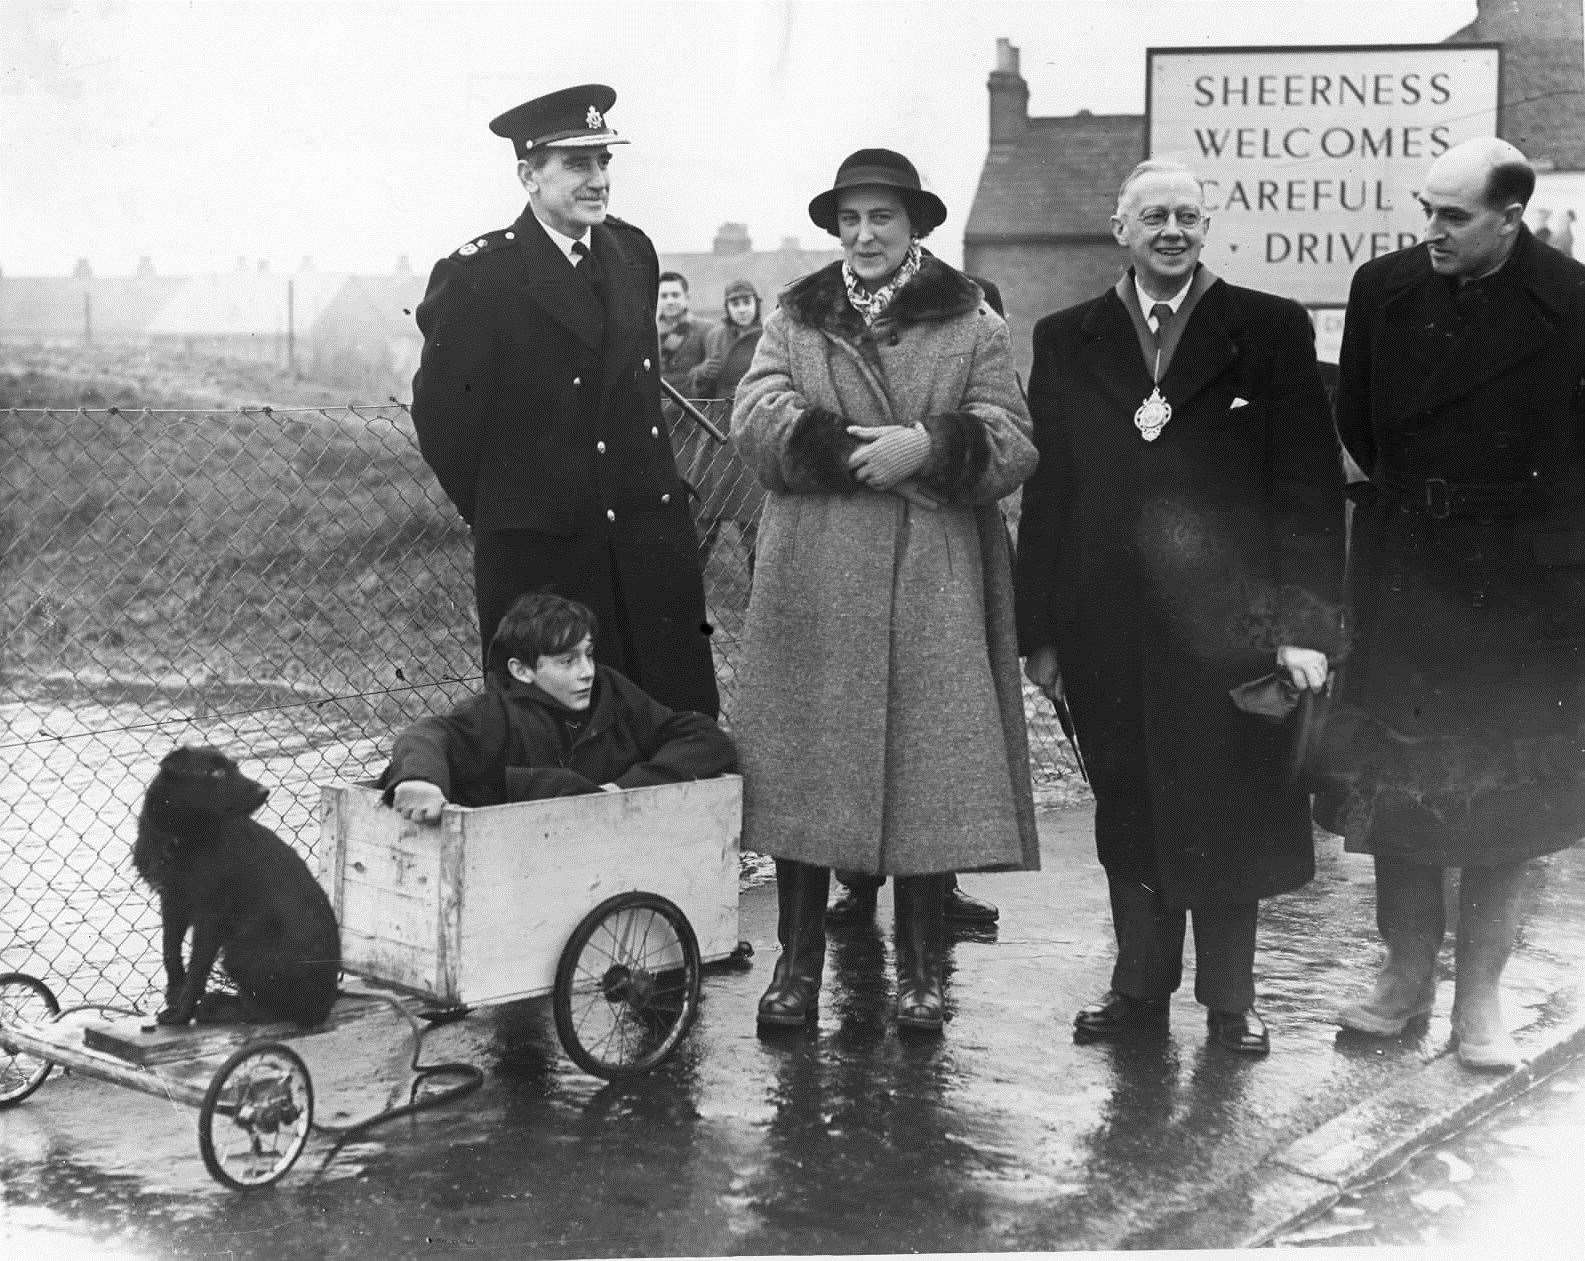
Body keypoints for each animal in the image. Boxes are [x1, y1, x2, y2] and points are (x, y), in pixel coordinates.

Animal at [134, 747, 342, 1026]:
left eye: (235, 768)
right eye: (216, 772)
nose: (264, 791)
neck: (182, 837)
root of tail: (324, 1006)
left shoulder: (211, 914)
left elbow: (197, 968)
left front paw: (181, 1013)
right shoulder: (172, 900)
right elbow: (170, 952)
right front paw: (174, 997)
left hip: (240, 952)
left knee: (265, 1012)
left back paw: (217, 1007)